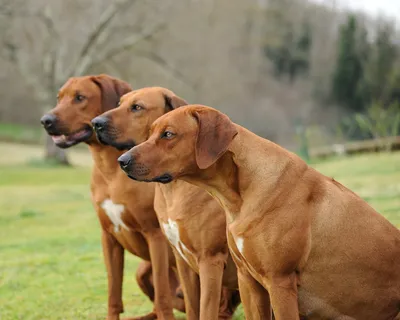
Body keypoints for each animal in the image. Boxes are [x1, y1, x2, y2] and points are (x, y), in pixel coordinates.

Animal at [40, 75, 184, 320]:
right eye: (59, 98)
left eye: (80, 97)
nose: (45, 120)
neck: (112, 171)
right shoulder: (108, 237)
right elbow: (113, 294)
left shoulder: (155, 237)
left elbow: (163, 297)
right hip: (141, 271)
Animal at [90, 87, 241, 320]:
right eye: (119, 103)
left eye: (137, 107)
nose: (95, 123)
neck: (175, 190)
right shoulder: (178, 257)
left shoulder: (206, 259)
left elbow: (195, 307)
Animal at [115, 104, 400, 318]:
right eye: (151, 132)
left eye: (168, 134)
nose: (122, 161)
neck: (238, 197)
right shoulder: (249, 281)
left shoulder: (279, 282)